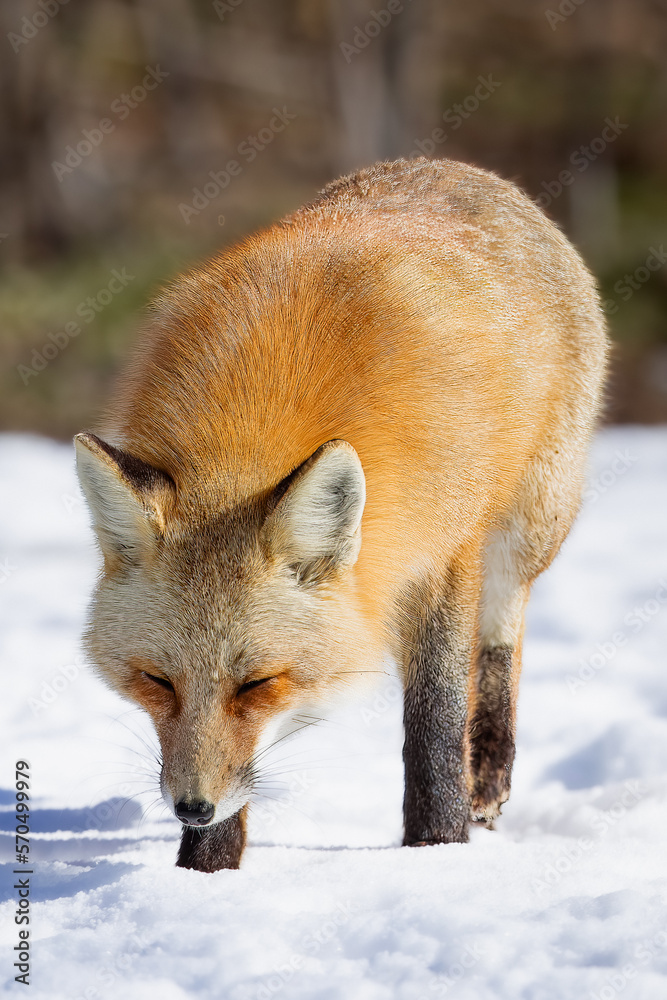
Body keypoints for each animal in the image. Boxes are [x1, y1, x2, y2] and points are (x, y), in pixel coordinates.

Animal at [74, 157, 608, 872]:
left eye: (258, 684)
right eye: (157, 681)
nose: (191, 807)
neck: (258, 404)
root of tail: (457, 167)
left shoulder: (442, 551)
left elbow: (438, 721)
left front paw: (437, 848)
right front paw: (204, 874)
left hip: (530, 526)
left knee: (502, 636)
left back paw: (488, 776)